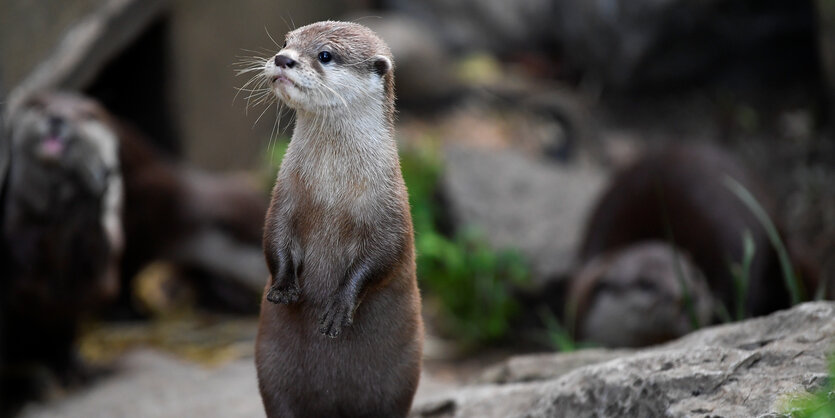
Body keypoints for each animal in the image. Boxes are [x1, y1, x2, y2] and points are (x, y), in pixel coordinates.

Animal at [255, 21, 424, 416]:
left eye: (325, 55)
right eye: (285, 42)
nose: (282, 59)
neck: (331, 191)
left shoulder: (390, 209)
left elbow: (382, 259)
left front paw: (338, 309)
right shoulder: (284, 196)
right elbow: (274, 238)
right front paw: (283, 287)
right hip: (272, 377)